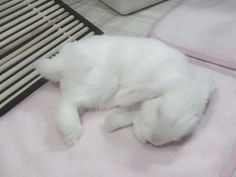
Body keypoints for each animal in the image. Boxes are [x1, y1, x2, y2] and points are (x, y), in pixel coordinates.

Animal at [34, 35, 217, 146]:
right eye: (158, 110)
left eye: (182, 136)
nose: (154, 141)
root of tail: (60, 63)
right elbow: (130, 108)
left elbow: (131, 115)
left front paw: (110, 123)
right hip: (97, 85)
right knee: (67, 101)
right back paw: (71, 131)